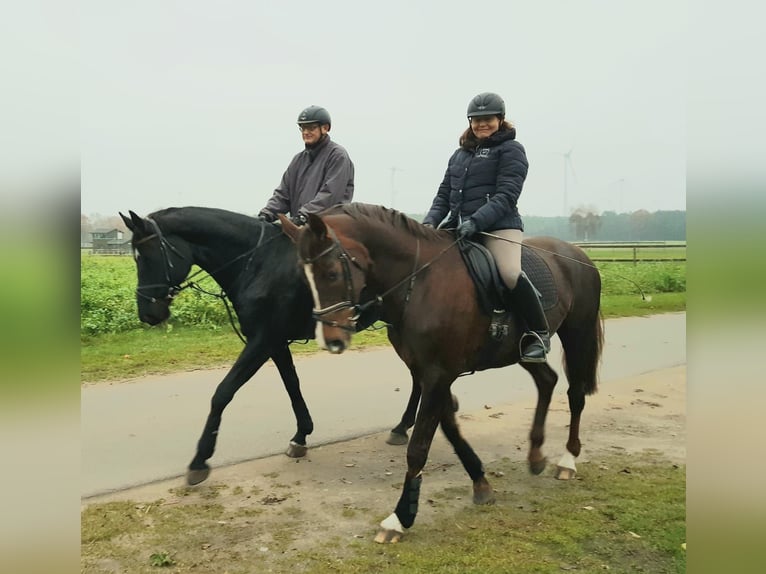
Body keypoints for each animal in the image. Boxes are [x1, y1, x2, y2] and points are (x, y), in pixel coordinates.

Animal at [121, 207, 416, 486]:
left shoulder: (262, 341)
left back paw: (402, 427)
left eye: (145, 256)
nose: (147, 313)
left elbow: (223, 392)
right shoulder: (275, 344)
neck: (259, 264)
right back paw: (402, 426)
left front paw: (200, 460)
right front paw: (301, 436)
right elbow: (292, 385)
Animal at [282, 205, 608, 548]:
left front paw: (400, 518)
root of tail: (579, 255)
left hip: (577, 334)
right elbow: (449, 426)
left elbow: (419, 447)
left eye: (331, 273)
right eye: (305, 277)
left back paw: (567, 460)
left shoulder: (438, 374)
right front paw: (480, 482)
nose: (331, 340)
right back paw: (535, 456)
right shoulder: (431, 373)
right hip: (520, 351)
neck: (420, 282)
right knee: (547, 381)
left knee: (575, 394)